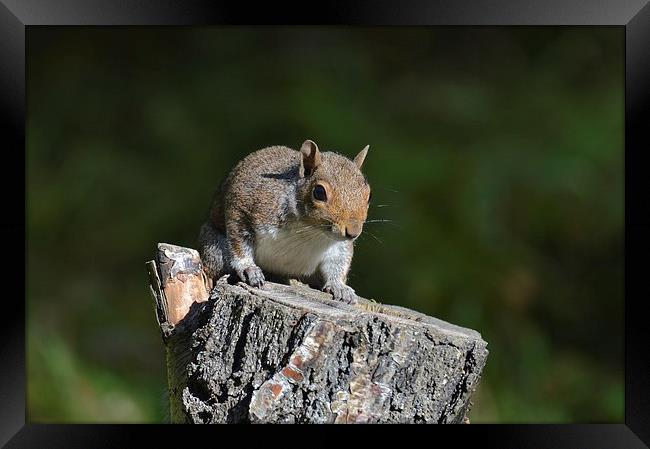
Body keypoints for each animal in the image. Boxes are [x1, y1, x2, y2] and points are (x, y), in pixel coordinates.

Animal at [196, 138, 370, 302]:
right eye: (319, 192)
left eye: (369, 195)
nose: (353, 232)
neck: (309, 230)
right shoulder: (244, 209)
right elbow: (239, 241)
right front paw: (248, 268)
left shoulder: (339, 247)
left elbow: (338, 262)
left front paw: (339, 286)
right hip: (215, 250)